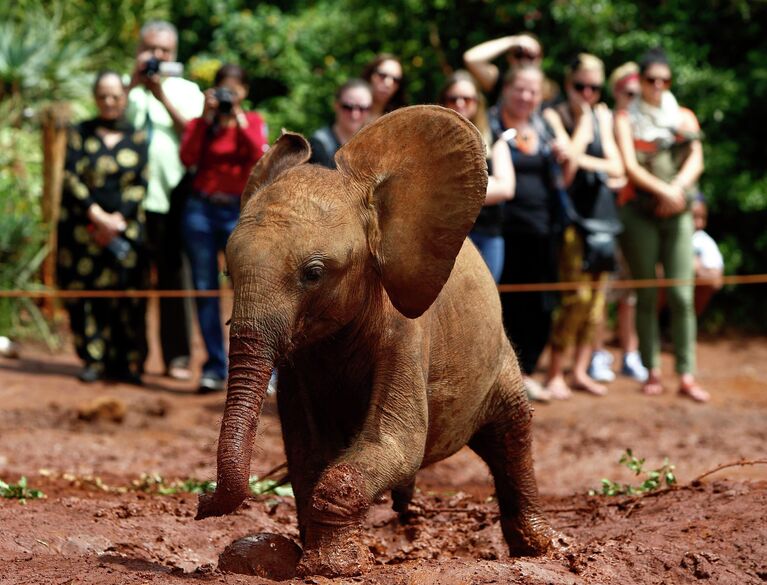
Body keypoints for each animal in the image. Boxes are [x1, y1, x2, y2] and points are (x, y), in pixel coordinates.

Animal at [196, 104, 560, 576]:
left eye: (314, 273)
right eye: (228, 272)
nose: (201, 503)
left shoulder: (406, 334)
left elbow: (397, 441)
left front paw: (330, 568)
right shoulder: (300, 363)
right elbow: (307, 450)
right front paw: (311, 560)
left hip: (498, 358)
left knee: (513, 435)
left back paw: (540, 548)